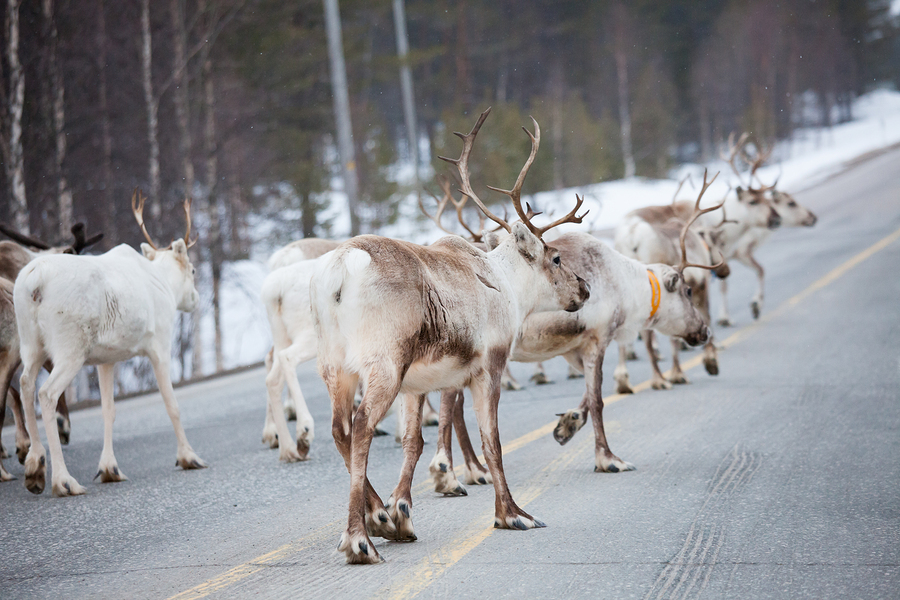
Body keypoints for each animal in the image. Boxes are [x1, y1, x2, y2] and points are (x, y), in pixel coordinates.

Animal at [14, 190, 205, 496]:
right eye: (194, 270)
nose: (196, 299)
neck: (164, 283)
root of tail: (34, 283)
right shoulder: (160, 346)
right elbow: (172, 404)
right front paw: (189, 457)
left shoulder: (106, 360)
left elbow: (109, 411)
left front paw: (109, 469)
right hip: (70, 349)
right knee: (47, 393)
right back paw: (63, 481)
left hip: (31, 345)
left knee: (25, 385)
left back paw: (35, 467)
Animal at [309, 107, 590, 564]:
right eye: (556, 257)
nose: (585, 288)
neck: (508, 288)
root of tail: (339, 271)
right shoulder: (488, 366)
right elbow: (492, 441)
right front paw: (512, 514)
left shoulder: (417, 383)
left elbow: (414, 440)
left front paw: (401, 513)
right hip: (382, 364)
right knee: (362, 424)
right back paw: (359, 540)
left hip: (335, 365)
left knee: (339, 429)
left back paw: (378, 517)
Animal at [429, 173, 718, 499]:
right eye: (688, 291)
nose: (704, 331)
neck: (629, 288)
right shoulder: (599, 338)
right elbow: (598, 399)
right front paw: (607, 458)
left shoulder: (571, 348)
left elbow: (587, 397)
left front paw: (567, 424)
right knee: (451, 404)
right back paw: (457, 473)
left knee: (456, 406)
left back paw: (471, 469)